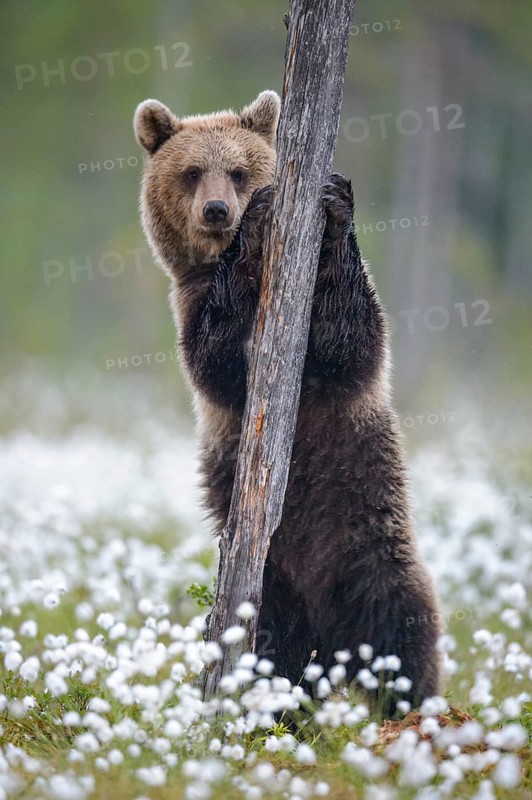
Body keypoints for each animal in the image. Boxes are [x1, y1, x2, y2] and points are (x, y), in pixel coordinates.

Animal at [133, 90, 442, 714]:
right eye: (192, 171)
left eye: (237, 169)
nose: (218, 210)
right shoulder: (194, 305)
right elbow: (218, 359)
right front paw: (252, 228)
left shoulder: (337, 357)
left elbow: (349, 337)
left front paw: (336, 203)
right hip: (271, 583)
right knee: (274, 643)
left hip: (364, 537)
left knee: (400, 620)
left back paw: (407, 703)